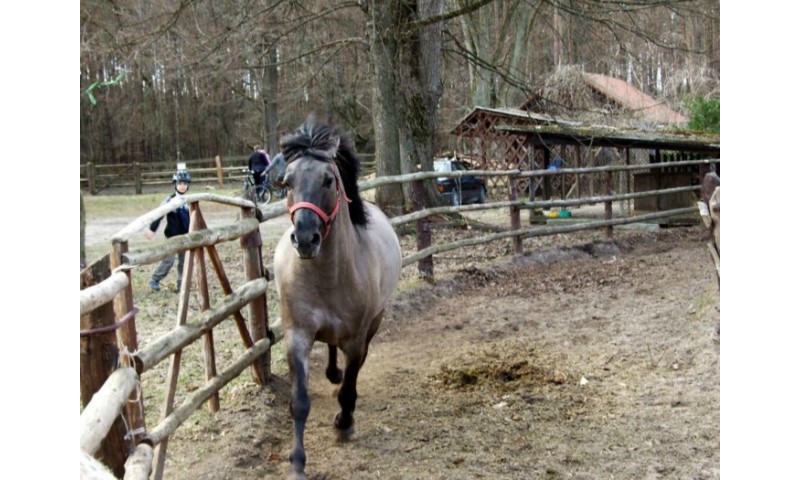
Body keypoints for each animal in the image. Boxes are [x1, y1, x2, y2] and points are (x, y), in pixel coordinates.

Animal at [274, 117, 400, 480]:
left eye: (328, 179)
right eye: (286, 182)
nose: (305, 238)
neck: (326, 276)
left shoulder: (356, 339)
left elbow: (349, 385)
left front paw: (344, 424)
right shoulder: (297, 335)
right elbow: (300, 402)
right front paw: (297, 462)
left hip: (374, 322)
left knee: (355, 364)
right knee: (330, 349)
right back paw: (332, 372)